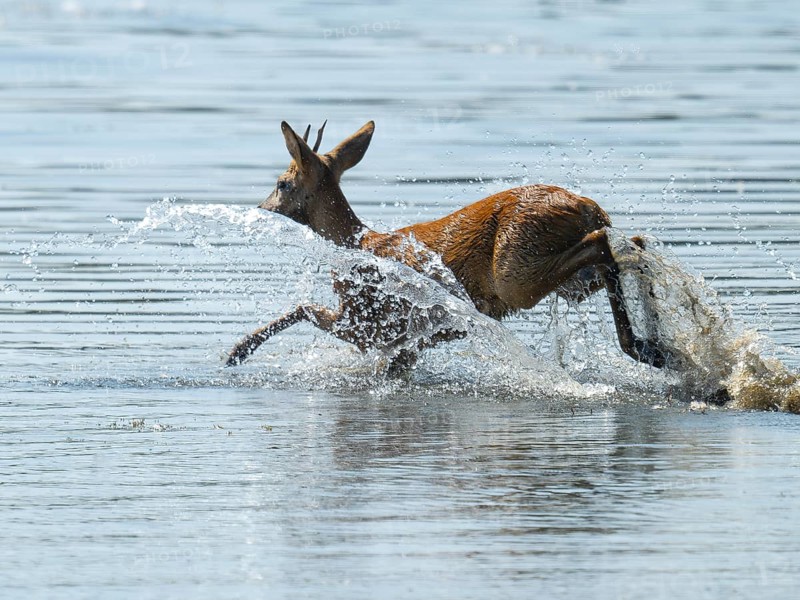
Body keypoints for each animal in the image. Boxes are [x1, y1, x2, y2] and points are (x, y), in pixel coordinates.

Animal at [226, 120, 668, 373]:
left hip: (515, 269)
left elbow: (303, 308)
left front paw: (237, 350)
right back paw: (652, 347)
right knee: (630, 247)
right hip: (568, 283)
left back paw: (645, 346)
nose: (263, 207)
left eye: (282, 183)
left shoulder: (367, 322)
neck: (357, 242)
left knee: (604, 246)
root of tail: (588, 207)